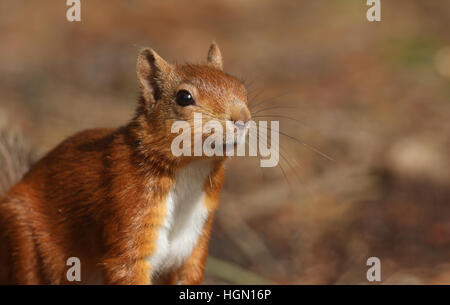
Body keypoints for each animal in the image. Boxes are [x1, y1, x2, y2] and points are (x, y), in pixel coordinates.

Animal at [0, 42, 250, 282]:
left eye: (240, 85)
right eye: (184, 97)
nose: (242, 118)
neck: (192, 169)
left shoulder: (193, 242)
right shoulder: (128, 204)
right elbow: (125, 265)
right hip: (23, 241)